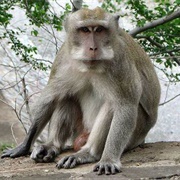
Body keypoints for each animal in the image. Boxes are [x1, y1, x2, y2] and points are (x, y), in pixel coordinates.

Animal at [1, 6, 160, 175]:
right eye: (84, 30)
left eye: (99, 30)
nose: (93, 48)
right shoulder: (63, 56)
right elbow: (51, 97)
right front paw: (23, 146)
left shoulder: (120, 62)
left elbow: (125, 105)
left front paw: (109, 159)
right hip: (79, 130)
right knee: (66, 96)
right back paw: (52, 145)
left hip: (135, 135)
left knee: (112, 105)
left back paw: (88, 153)